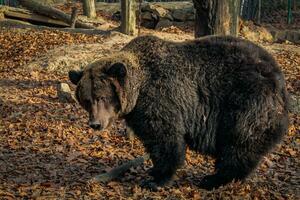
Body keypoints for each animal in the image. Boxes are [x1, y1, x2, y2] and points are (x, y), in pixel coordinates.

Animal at [68, 35, 288, 190]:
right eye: (86, 99)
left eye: (102, 97)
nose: (95, 124)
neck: (137, 91)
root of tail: (278, 76)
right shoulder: (139, 113)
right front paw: (153, 171)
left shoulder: (161, 98)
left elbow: (165, 139)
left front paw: (157, 179)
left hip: (245, 102)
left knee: (239, 143)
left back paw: (213, 179)